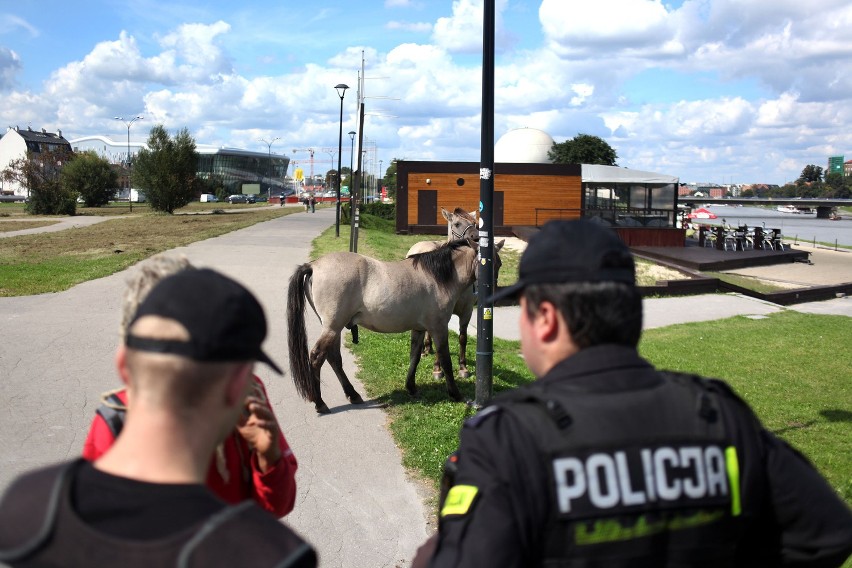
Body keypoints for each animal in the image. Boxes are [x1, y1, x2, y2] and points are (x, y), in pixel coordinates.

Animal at [288, 239, 480, 412]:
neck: (436, 278)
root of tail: (314, 265)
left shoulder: (419, 329)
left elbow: (414, 357)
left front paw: (411, 387)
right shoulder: (438, 328)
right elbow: (446, 361)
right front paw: (456, 394)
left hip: (333, 328)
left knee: (334, 358)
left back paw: (353, 395)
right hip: (332, 328)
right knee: (317, 357)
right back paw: (320, 402)